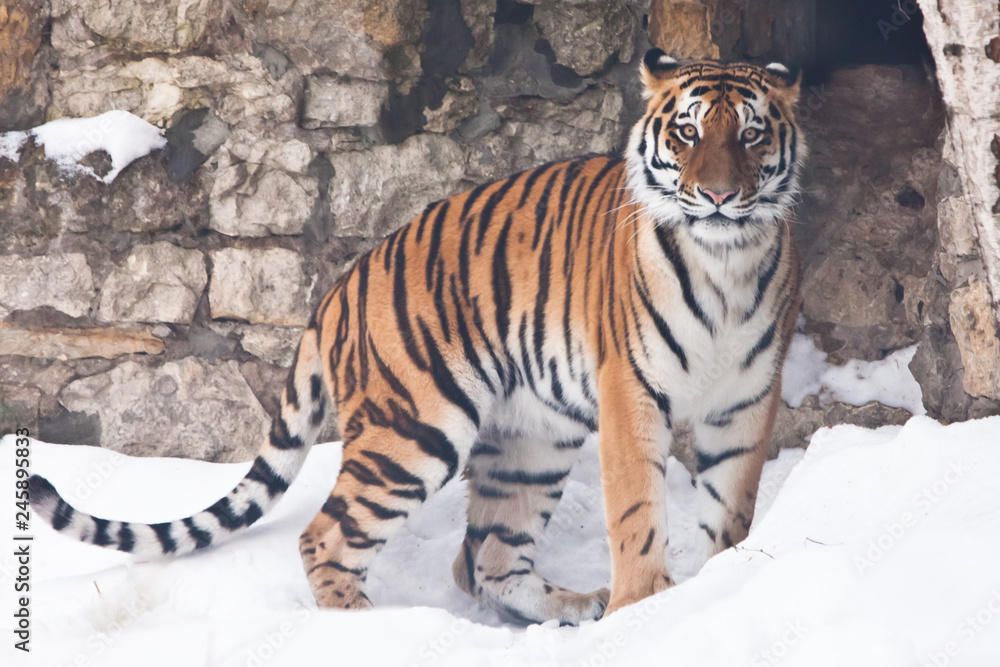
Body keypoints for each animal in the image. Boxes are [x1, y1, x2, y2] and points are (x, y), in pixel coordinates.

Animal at [29, 51, 804, 628]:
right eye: (688, 133)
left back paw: (575, 606)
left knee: (484, 559)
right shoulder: (632, 392)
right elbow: (638, 508)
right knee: (328, 535)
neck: (724, 260)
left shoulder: (747, 398)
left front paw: (708, 589)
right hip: (415, 428)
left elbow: (729, 509)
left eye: (752, 135)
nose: (718, 196)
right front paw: (644, 610)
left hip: (532, 439)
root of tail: (339, 285)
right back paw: (368, 630)